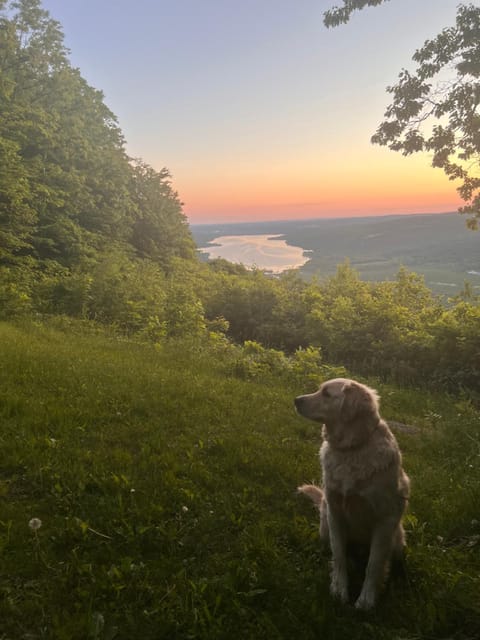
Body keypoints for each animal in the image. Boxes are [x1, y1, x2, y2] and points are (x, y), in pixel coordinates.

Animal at [294, 378, 410, 612]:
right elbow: (338, 554)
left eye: (326, 394)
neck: (351, 449)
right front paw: (339, 590)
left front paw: (366, 599)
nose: (296, 400)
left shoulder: (385, 519)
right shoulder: (335, 512)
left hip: (398, 541)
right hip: (324, 529)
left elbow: (374, 564)